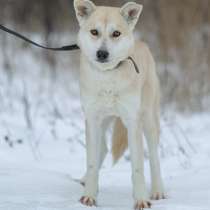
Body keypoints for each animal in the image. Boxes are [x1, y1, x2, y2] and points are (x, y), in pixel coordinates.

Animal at [74, 0, 165, 209]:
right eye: (94, 32)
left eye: (116, 33)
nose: (102, 53)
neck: (108, 77)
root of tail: (142, 44)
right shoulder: (92, 119)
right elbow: (91, 162)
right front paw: (89, 196)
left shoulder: (133, 122)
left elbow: (138, 168)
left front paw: (141, 200)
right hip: (103, 122)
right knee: (102, 149)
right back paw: (85, 180)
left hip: (148, 121)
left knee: (154, 159)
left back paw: (157, 191)